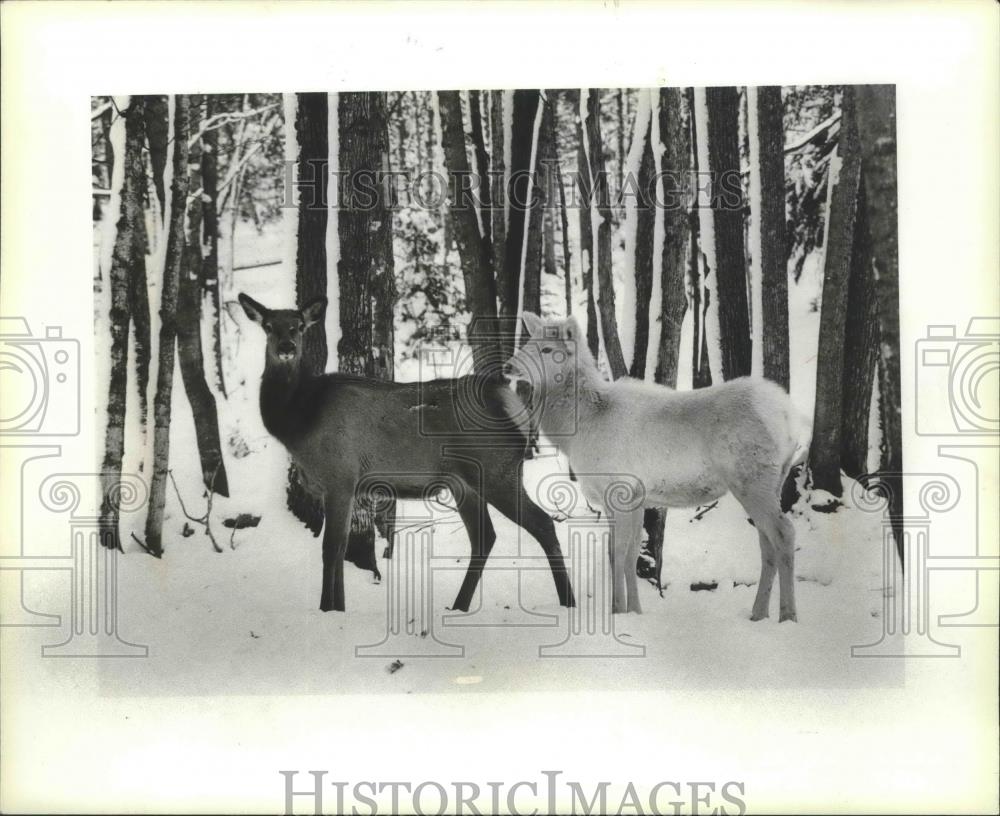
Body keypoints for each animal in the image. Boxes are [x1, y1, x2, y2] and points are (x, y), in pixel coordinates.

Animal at [504, 316, 800, 620]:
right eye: (528, 342)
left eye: (548, 349)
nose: (508, 367)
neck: (576, 433)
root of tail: (790, 421)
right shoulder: (635, 497)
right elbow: (630, 553)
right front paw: (635, 609)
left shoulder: (618, 488)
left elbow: (617, 552)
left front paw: (617, 610)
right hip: (772, 480)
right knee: (766, 541)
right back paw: (758, 613)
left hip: (752, 479)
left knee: (784, 533)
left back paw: (787, 615)